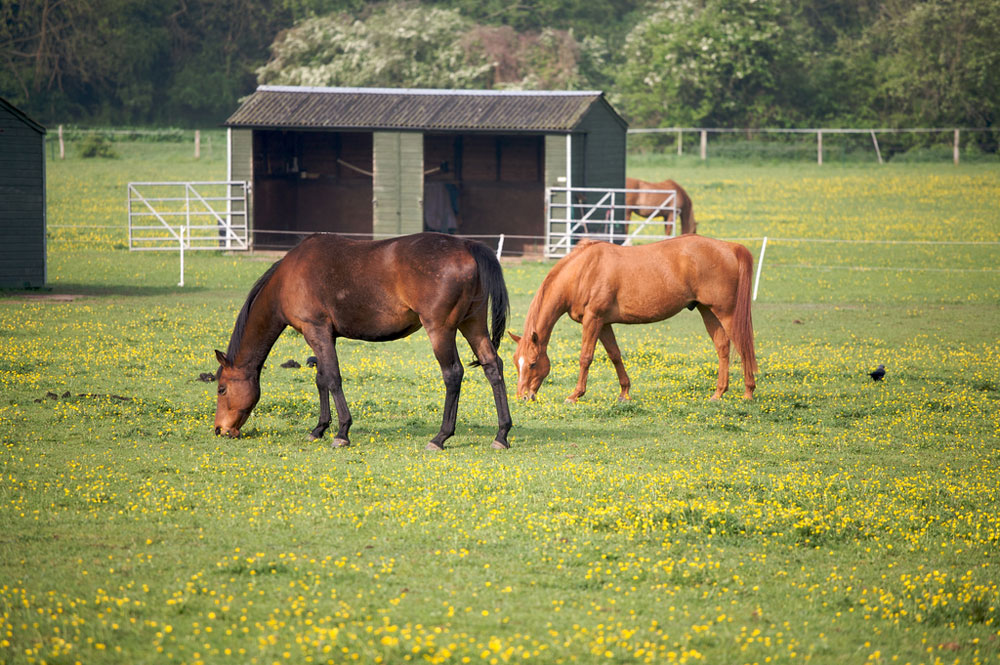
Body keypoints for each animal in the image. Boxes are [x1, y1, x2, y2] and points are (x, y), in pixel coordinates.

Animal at [210, 233, 508, 452]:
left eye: (222, 389)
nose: (220, 430)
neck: (287, 278)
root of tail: (466, 245)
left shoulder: (315, 329)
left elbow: (333, 379)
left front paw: (342, 432)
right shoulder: (324, 336)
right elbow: (321, 379)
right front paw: (319, 428)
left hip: (441, 329)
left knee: (453, 374)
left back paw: (440, 437)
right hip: (472, 324)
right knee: (492, 366)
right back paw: (502, 433)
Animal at [508, 235, 756, 400]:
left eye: (532, 363)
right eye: (515, 361)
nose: (523, 397)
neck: (583, 271)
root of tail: (729, 247)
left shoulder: (593, 320)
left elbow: (585, 357)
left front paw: (575, 395)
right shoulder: (604, 323)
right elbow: (615, 355)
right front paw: (624, 392)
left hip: (726, 314)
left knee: (743, 347)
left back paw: (748, 392)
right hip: (708, 311)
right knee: (722, 348)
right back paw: (718, 393)